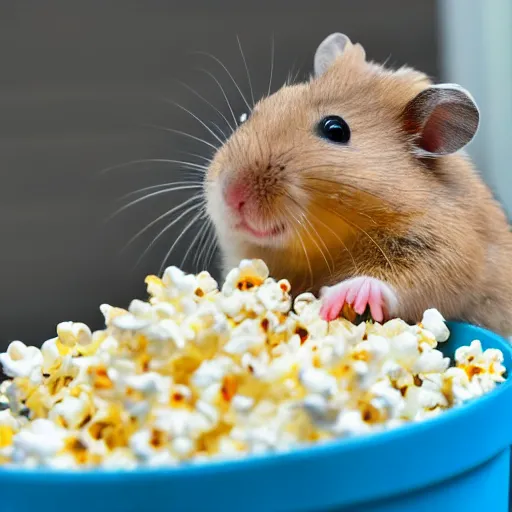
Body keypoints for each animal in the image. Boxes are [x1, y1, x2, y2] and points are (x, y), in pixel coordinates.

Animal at [202, 31, 512, 336]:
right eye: (251, 114)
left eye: (336, 130)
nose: (231, 195)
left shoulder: (448, 251)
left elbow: (407, 281)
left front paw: (338, 298)